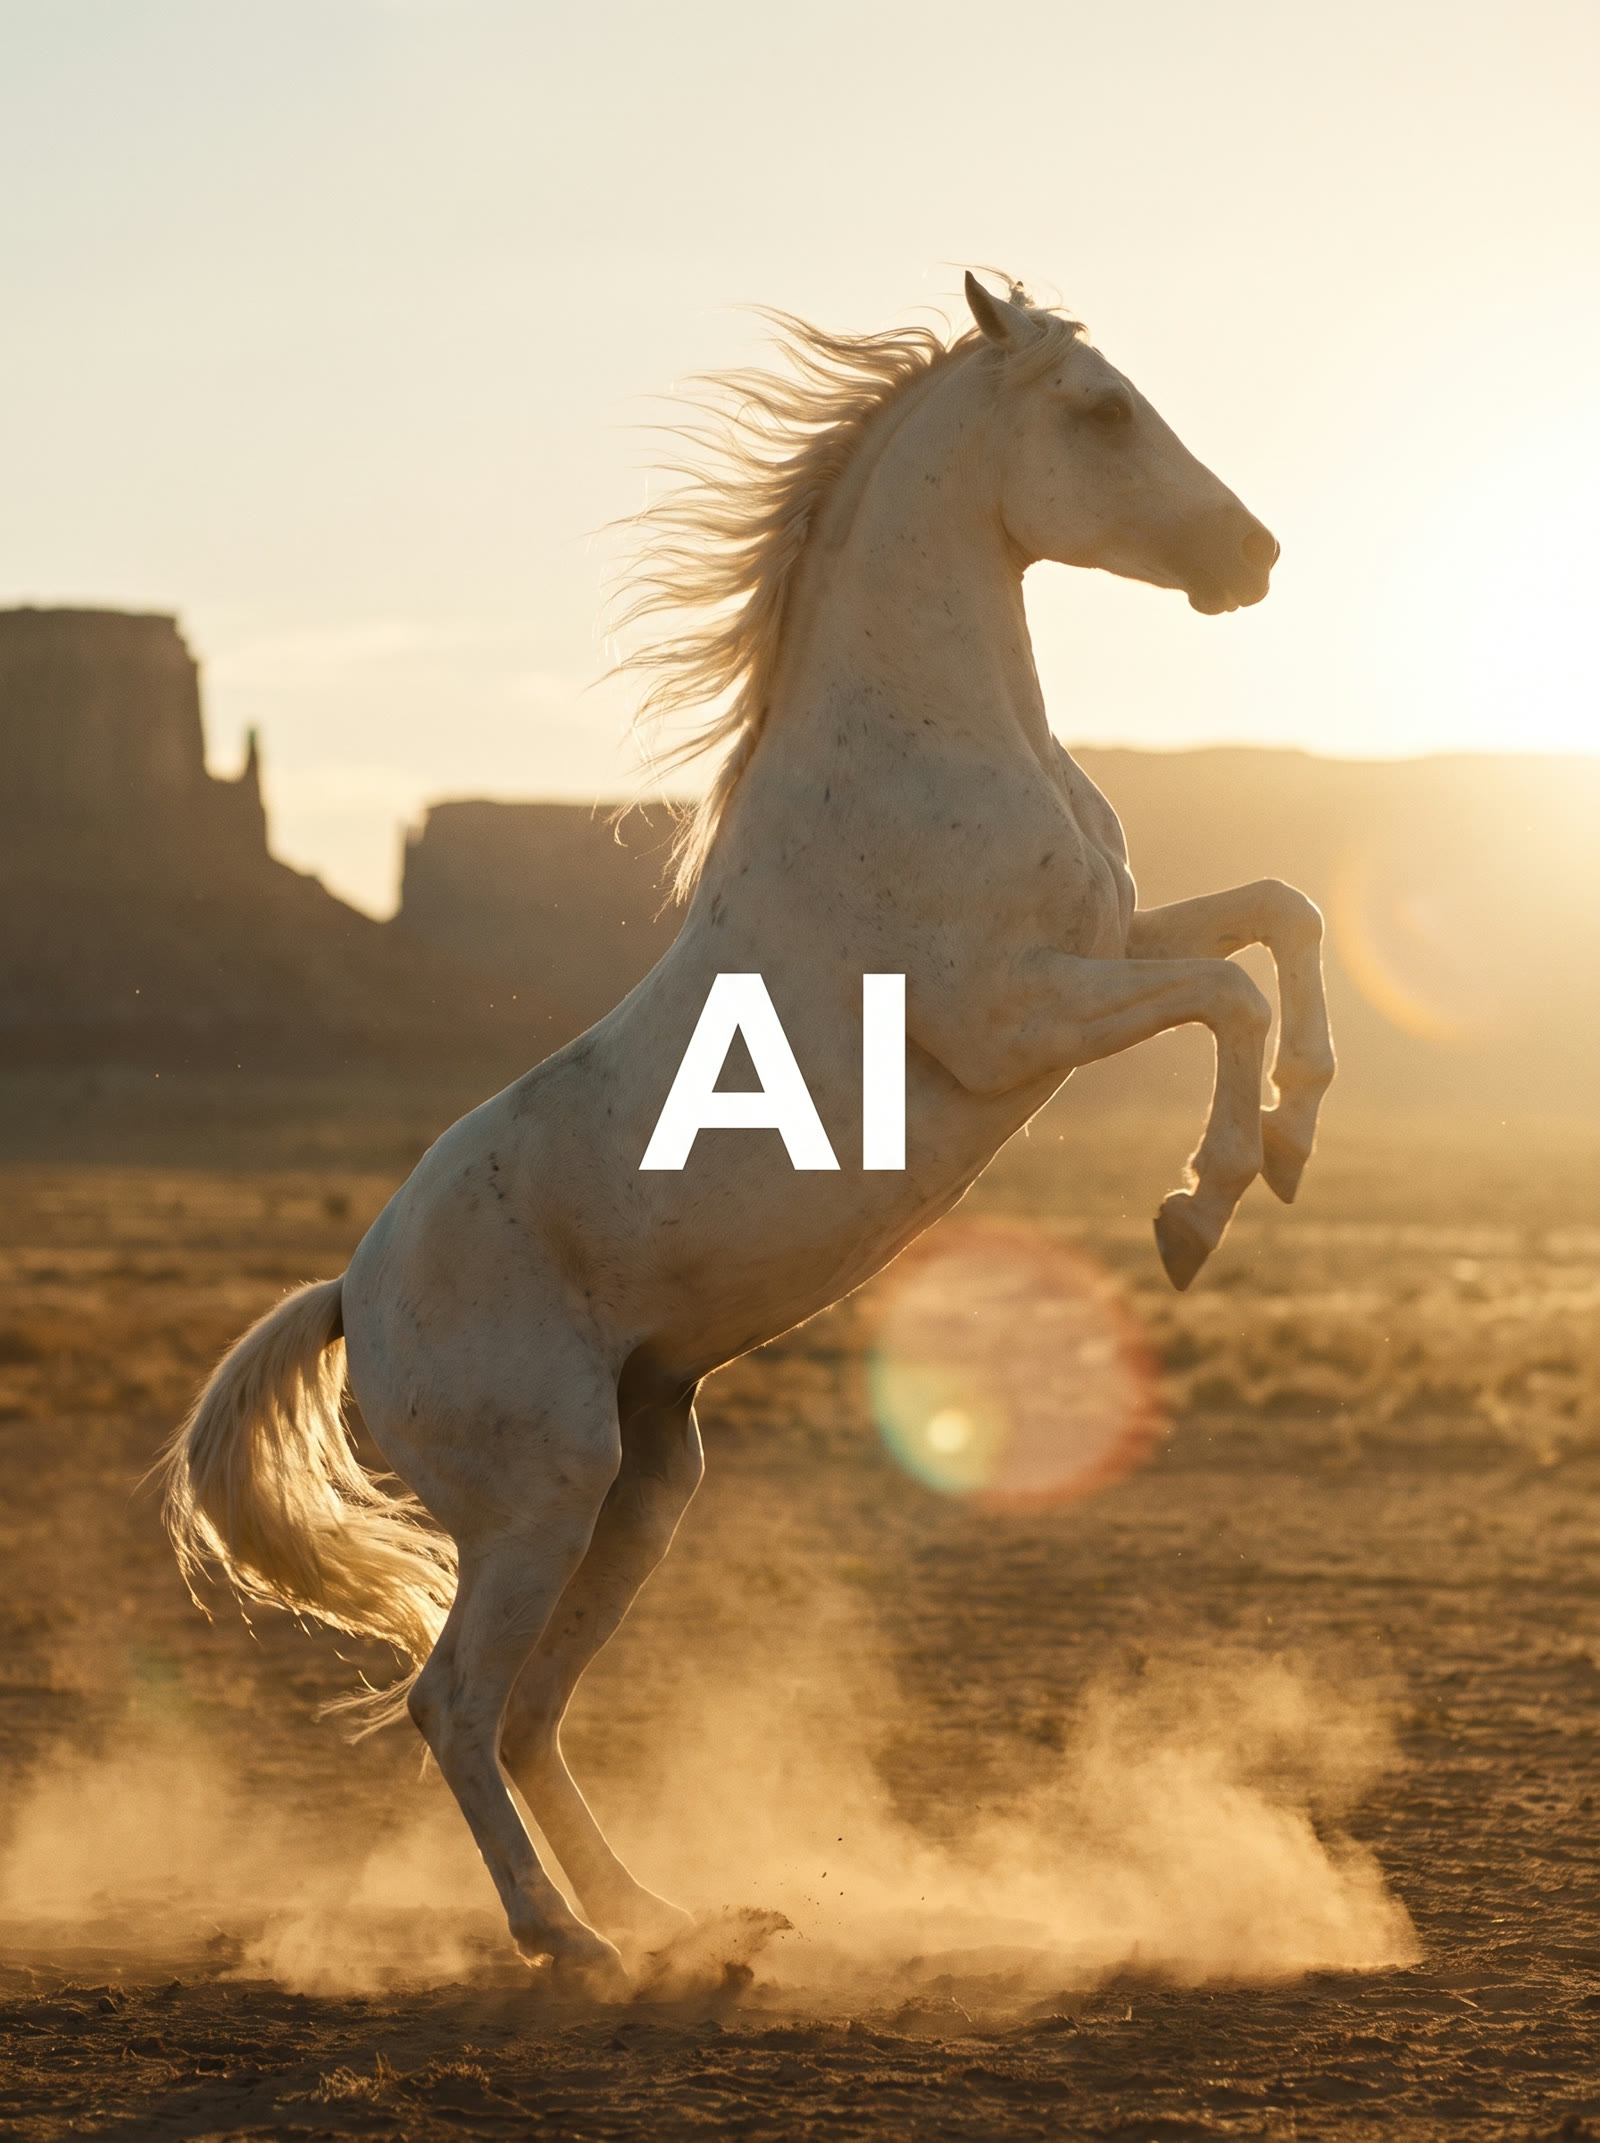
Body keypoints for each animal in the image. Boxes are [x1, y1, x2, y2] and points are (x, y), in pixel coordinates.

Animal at [162, 272, 1334, 1993]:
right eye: (1102, 409)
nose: (1250, 556)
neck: (925, 745)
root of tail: (351, 1297)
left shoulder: (1101, 948)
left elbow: (1280, 915)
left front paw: (1294, 1136)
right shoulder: (1018, 1019)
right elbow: (1228, 990)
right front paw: (1204, 1201)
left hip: (647, 1481)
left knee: (529, 1709)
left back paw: (678, 1920)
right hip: (544, 1490)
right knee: (452, 1701)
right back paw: (568, 1938)